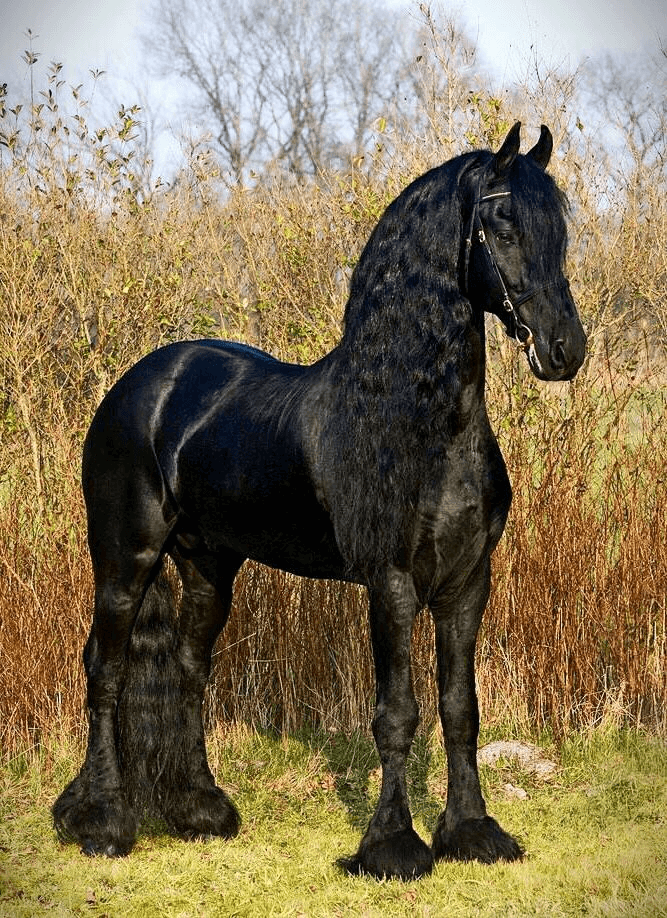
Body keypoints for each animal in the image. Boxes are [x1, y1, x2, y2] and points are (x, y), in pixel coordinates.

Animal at [53, 124, 584, 884]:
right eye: (504, 223)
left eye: (558, 230)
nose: (565, 349)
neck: (424, 430)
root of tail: (141, 384)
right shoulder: (390, 583)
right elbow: (397, 713)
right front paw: (392, 845)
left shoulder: (467, 584)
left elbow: (460, 709)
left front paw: (473, 832)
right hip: (126, 559)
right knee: (107, 668)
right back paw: (102, 821)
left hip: (209, 566)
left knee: (186, 667)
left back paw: (199, 811)